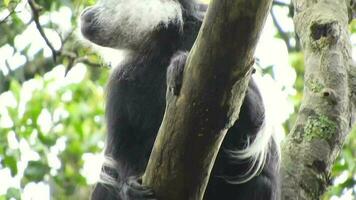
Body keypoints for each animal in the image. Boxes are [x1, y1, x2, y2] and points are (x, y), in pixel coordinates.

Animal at [80, 0, 280, 199]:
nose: (85, 12)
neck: (163, 43)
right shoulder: (122, 82)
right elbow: (124, 149)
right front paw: (129, 186)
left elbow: (253, 124)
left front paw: (180, 61)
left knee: (260, 183)